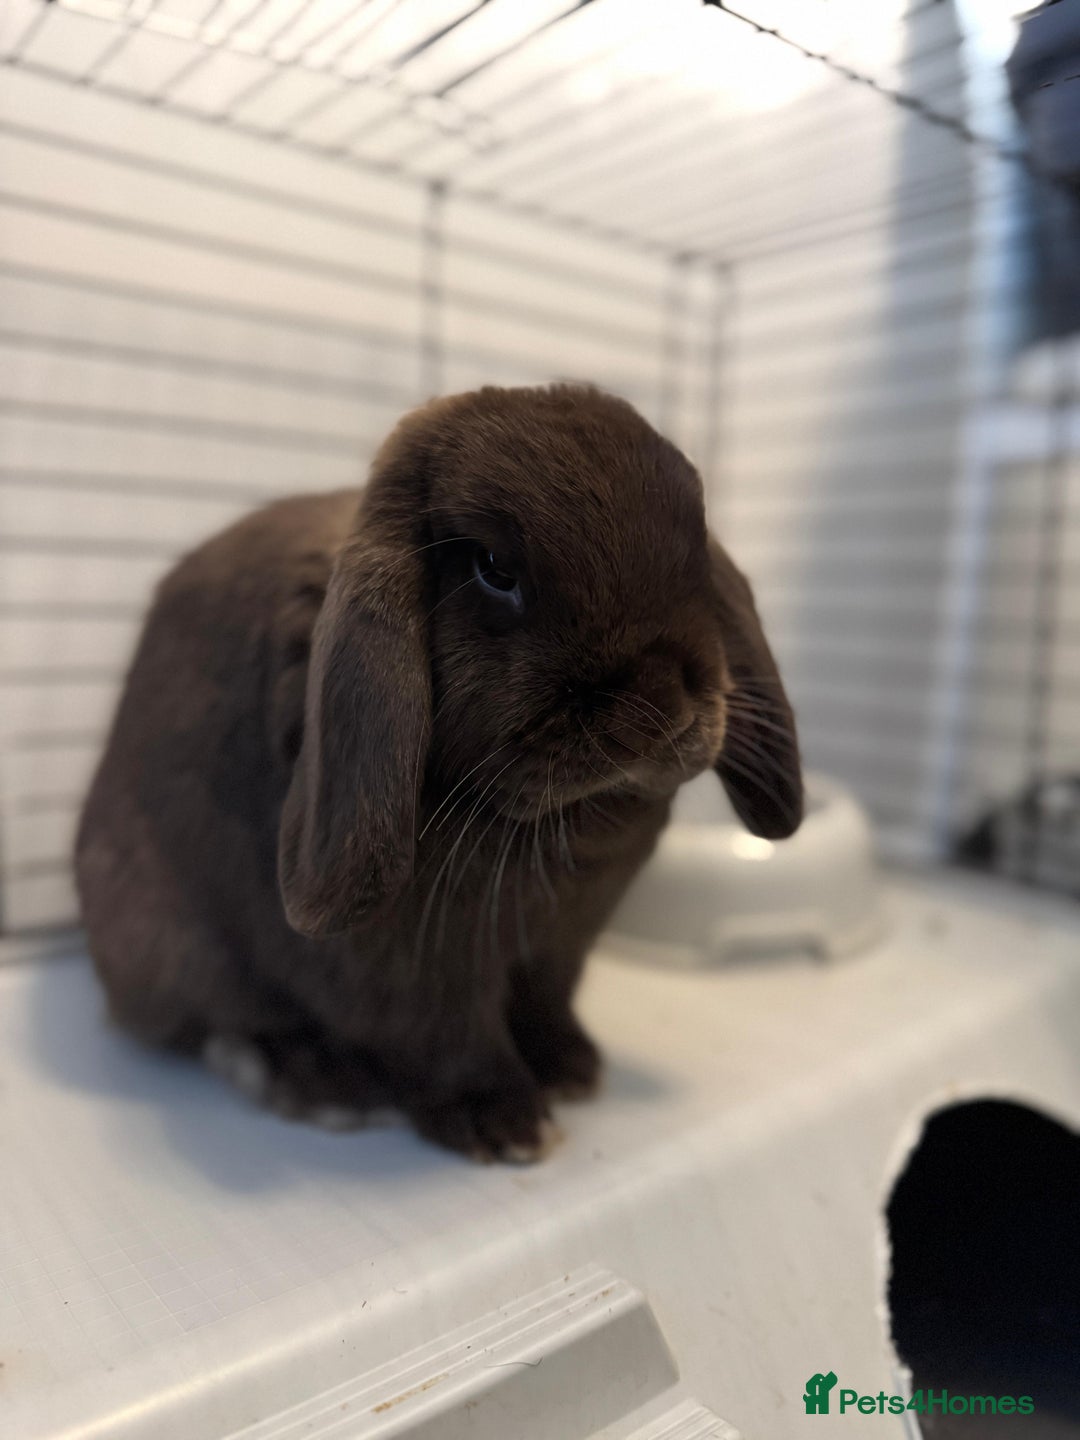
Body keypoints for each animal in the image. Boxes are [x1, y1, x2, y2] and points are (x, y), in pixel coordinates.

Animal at [75, 384, 802, 1162]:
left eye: (698, 553)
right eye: (494, 568)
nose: (662, 704)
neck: (562, 829)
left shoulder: (561, 948)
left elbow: (546, 1003)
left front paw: (572, 1069)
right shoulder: (412, 965)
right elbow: (444, 1036)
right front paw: (505, 1123)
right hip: (166, 940)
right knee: (220, 1018)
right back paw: (319, 1082)